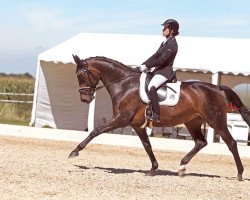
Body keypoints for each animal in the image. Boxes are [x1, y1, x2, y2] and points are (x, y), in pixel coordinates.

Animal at [69, 54, 250, 180]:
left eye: (81, 75)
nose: (85, 99)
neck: (124, 85)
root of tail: (217, 88)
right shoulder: (137, 125)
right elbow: (147, 145)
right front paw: (153, 168)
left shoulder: (121, 119)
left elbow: (95, 131)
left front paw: (75, 151)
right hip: (192, 122)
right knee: (201, 142)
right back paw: (181, 167)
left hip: (216, 121)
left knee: (231, 143)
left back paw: (240, 174)